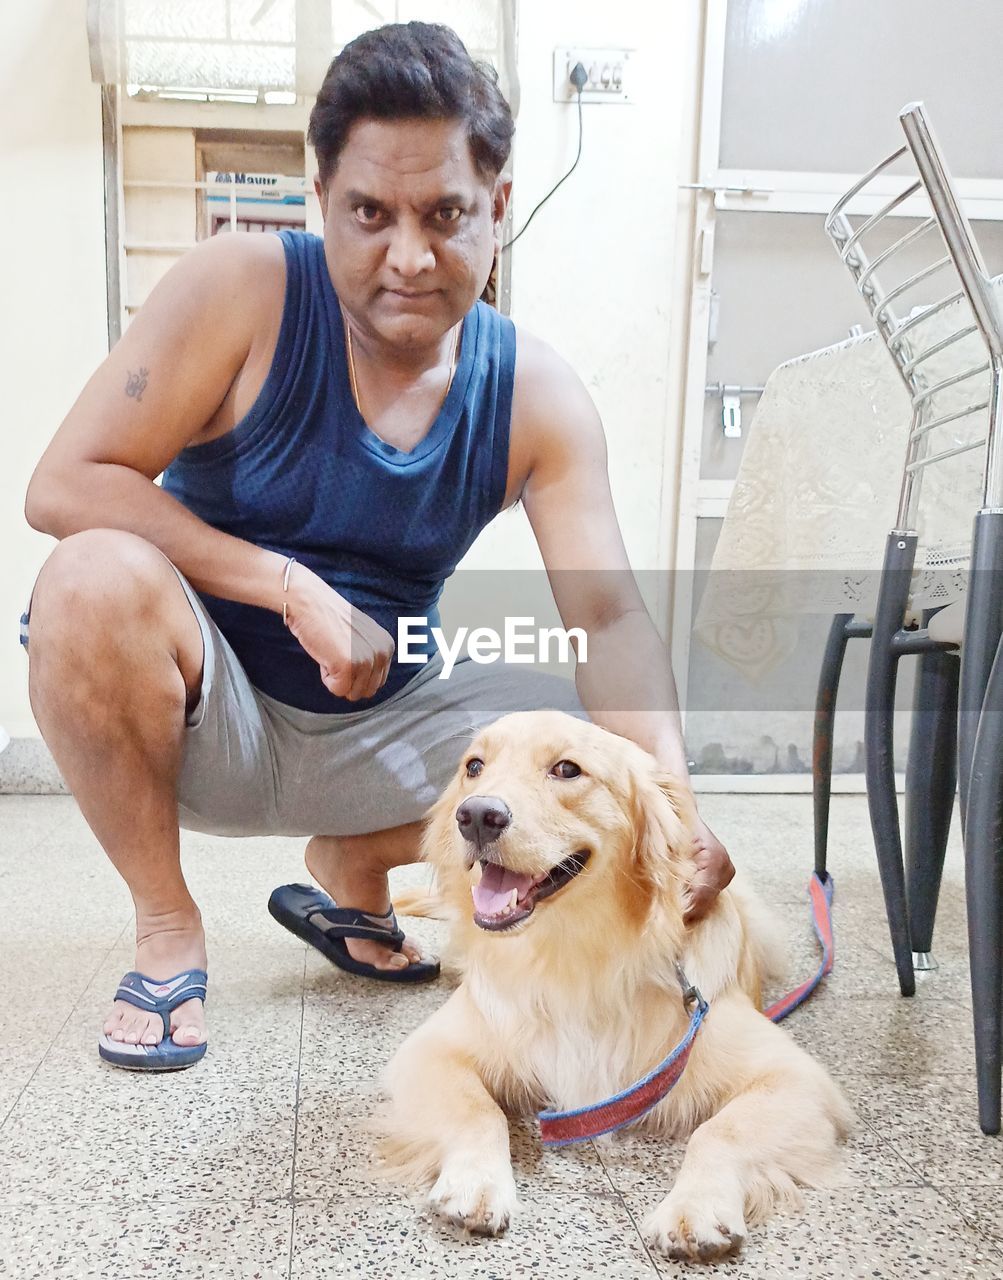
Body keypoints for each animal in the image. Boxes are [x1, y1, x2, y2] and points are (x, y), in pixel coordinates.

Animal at [381, 711, 849, 1259]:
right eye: (474, 766)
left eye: (567, 769)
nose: (475, 815)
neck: (572, 952)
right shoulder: (432, 1050)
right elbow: (478, 1110)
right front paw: (476, 1184)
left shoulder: (796, 1078)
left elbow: (721, 1131)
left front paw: (696, 1208)